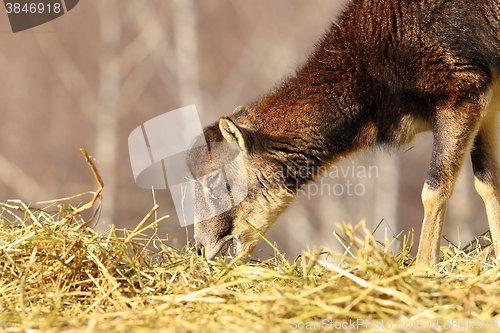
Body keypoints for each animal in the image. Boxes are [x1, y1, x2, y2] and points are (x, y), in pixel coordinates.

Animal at [189, 0, 500, 266]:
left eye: (214, 180)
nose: (202, 246)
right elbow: (488, 184)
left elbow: (434, 190)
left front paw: (423, 270)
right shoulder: (483, 107)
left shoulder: (459, 97)